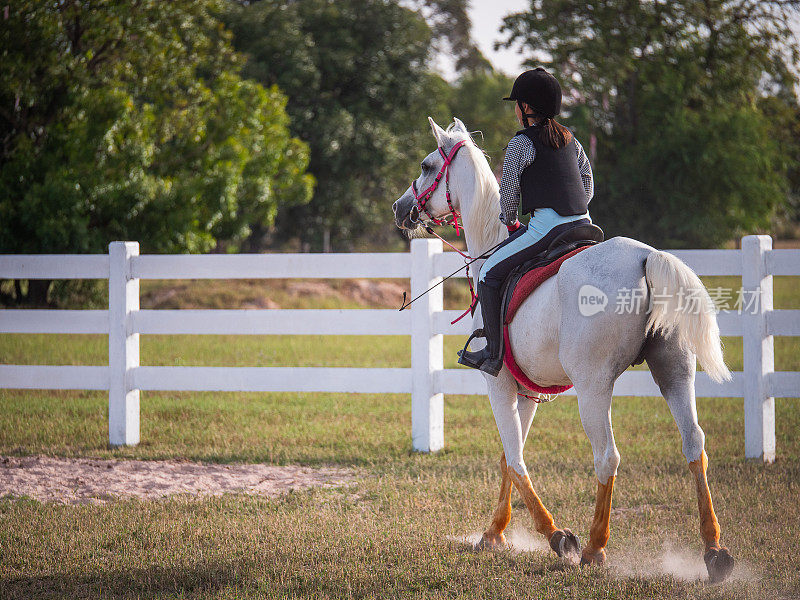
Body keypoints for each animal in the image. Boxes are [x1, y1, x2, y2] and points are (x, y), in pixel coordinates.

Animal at [394, 116, 736, 580]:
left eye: (428, 165)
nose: (400, 208)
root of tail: (646, 257)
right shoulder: (527, 390)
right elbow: (509, 456)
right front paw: (493, 534)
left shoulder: (498, 383)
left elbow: (515, 459)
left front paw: (556, 536)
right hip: (674, 372)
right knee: (694, 444)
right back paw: (714, 550)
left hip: (593, 387)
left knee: (607, 456)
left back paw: (593, 548)